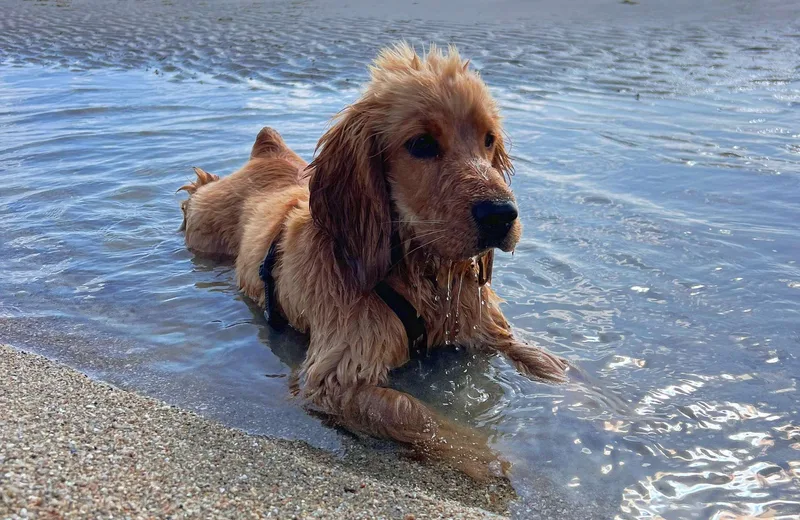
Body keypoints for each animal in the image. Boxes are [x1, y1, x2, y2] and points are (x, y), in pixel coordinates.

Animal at [181, 42, 568, 478]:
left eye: (489, 139)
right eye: (421, 144)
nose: (502, 215)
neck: (420, 276)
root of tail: (266, 150)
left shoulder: (481, 321)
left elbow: (540, 358)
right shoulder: (338, 375)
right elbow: (419, 414)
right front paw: (488, 460)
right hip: (205, 226)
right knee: (199, 190)